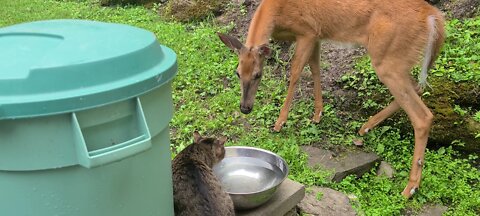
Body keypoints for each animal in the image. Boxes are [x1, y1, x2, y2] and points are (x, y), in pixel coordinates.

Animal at [219, 0, 444, 197]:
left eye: (258, 75)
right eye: (237, 72)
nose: (245, 108)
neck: (278, 10)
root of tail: (433, 17)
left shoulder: (307, 31)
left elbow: (295, 73)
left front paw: (280, 122)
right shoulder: (317, 35)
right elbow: (315, 68)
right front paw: (318, 113)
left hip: (389, 57)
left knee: (423, 115)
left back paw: (410, 188)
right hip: (400, 61)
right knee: (418, 87)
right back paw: (366, 127)